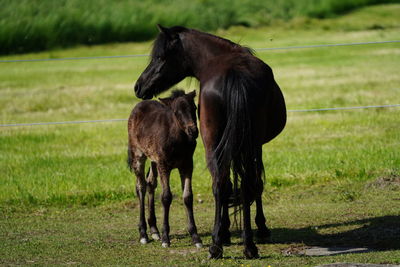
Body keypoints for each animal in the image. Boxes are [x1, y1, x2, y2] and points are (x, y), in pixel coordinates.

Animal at [128, 90, 203, 249]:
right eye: (176, 112)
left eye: (194, 108)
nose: (193, 131)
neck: (178, 140)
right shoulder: (164, 165)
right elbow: (166, 197)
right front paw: (165, 238)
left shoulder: (187, 165)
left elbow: (188, 196)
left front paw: (195, 237)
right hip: (139, 155)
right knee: (141, 186)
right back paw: (143, 234)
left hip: (153, 160)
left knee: (151, 183)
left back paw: (154, 230)